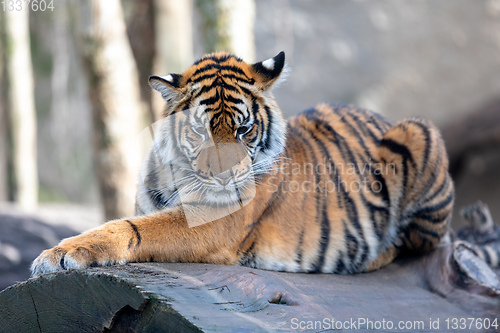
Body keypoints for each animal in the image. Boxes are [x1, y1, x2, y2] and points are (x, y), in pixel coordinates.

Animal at [32, 51, 472, 274]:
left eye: (244, 130)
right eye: (202, 132)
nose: (226, 177)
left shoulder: (215, 221)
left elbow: (136, 229)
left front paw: (60, 254)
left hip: (417, 131)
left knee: (414, 246)